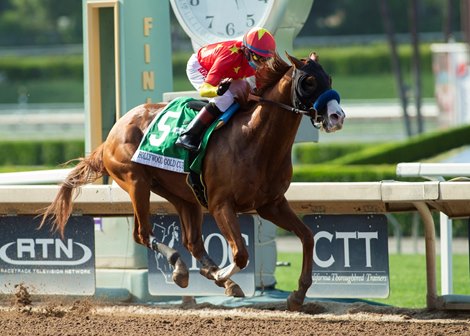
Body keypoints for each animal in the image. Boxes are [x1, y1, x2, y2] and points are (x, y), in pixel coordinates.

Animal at [41, 52, 346, 312]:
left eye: (329, 78)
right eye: (308, 81)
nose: (337, 116)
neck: (256, 140)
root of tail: (112, 133)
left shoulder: (271, 204)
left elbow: (307, 236)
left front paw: (298, 295)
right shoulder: (222, 205)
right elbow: (241, 254)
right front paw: (223, 274)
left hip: (184, 195)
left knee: (193, 242)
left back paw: (210, 275)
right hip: (136, 182)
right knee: (142, 233)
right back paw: (185, 269)